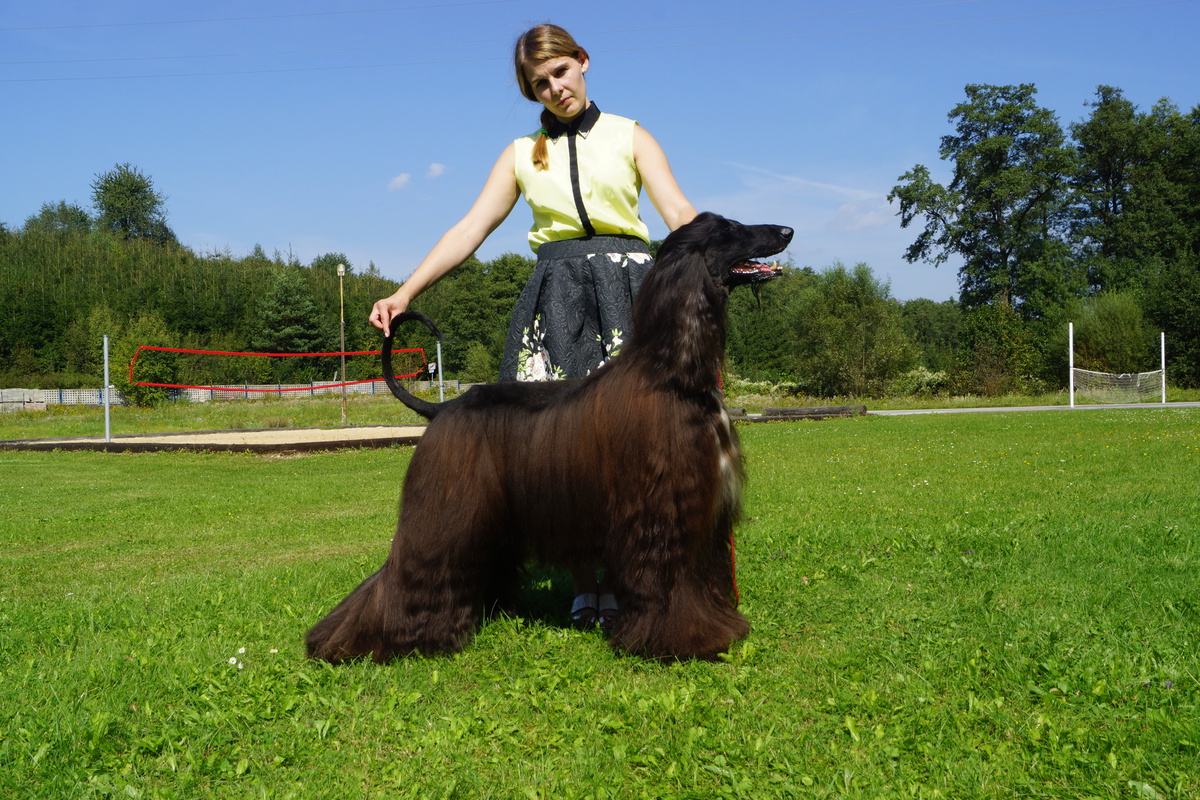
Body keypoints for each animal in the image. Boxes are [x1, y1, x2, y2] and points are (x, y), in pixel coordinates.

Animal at [304, 212, 792, 662]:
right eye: (730, 228)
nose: (787, 231)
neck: (670, 372)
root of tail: (443, 407)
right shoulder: (662, 513)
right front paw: (688, 640)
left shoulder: (705, 513)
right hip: (442, 510)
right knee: (409, 569)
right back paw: (369, 640)